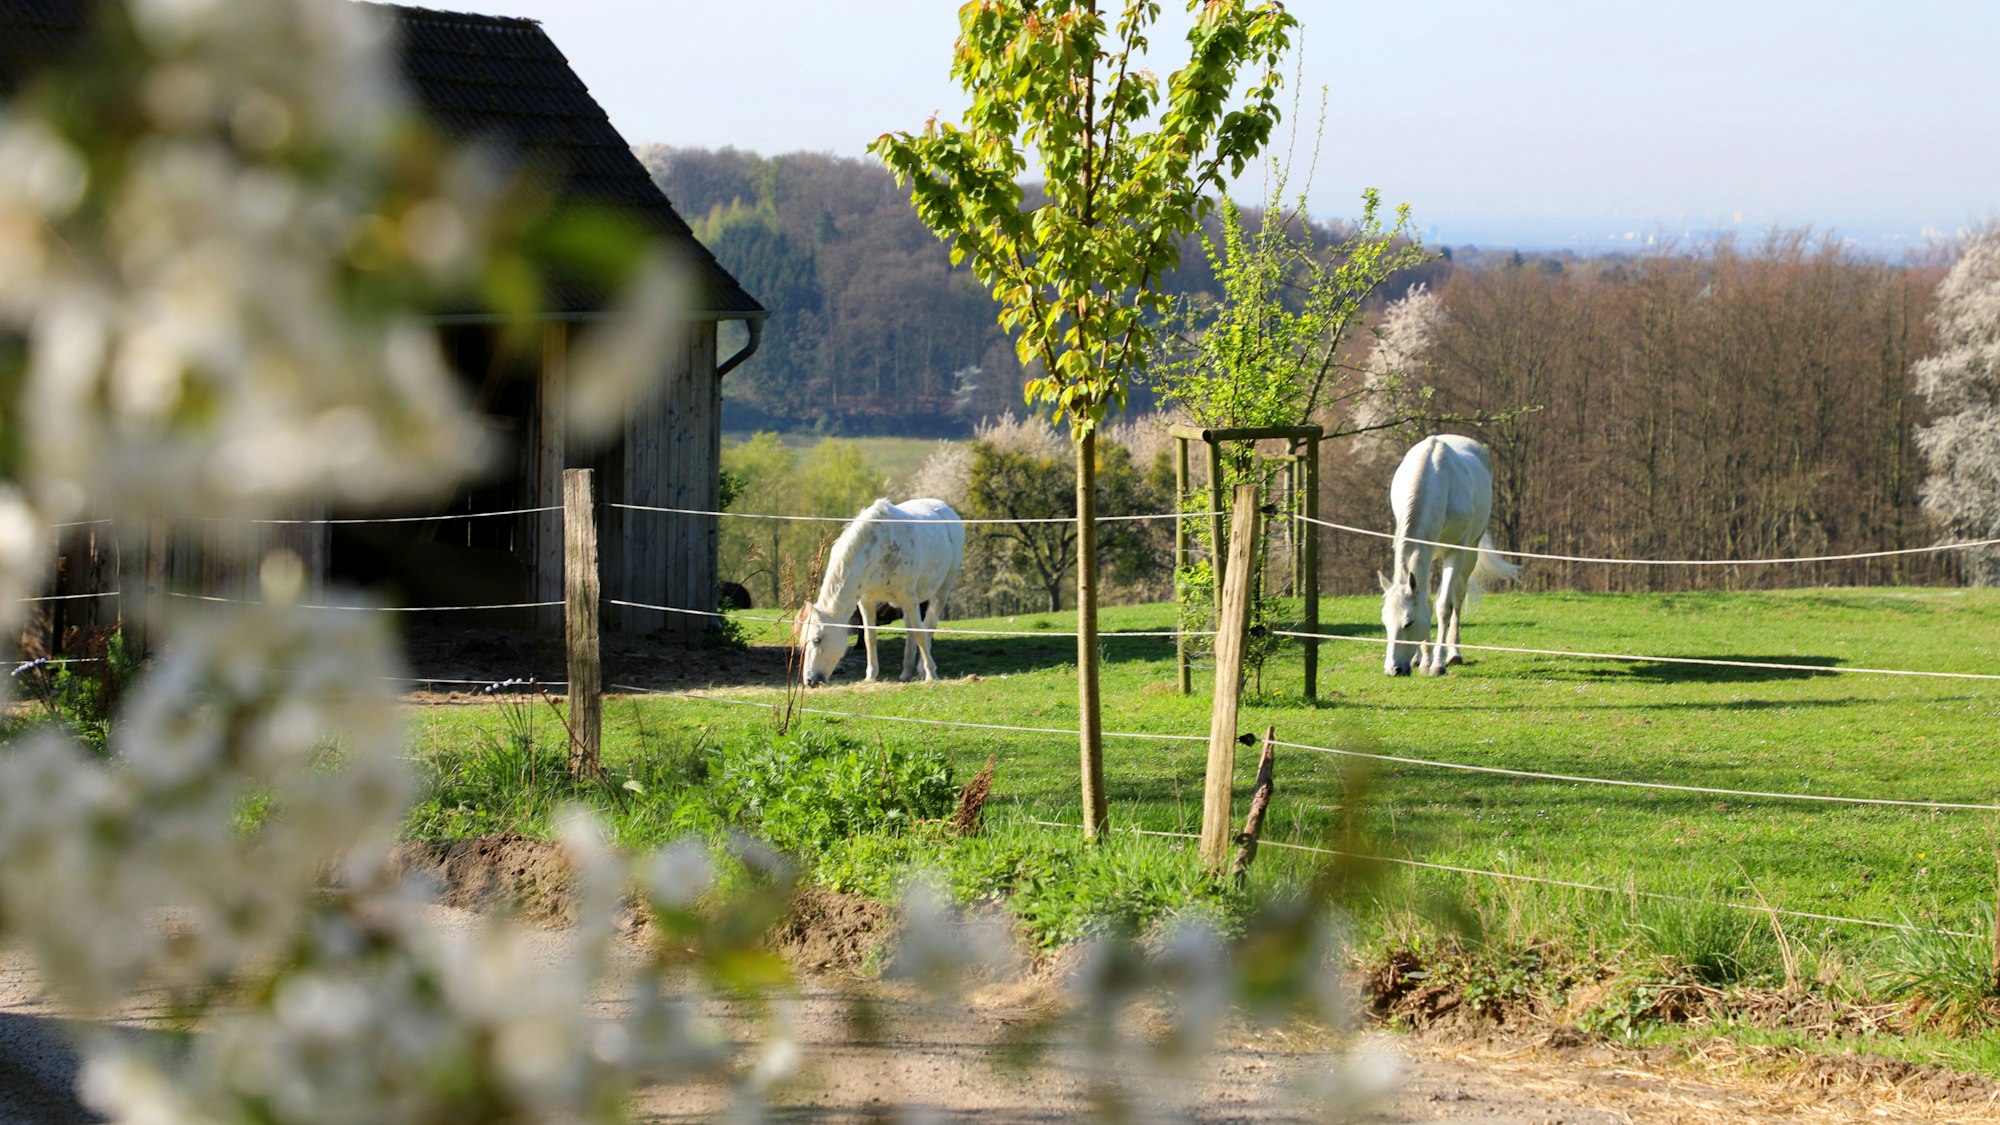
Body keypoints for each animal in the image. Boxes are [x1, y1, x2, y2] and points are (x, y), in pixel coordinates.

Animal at [797, 498, 965, 686]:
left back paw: (923, 669)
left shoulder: (909, 598)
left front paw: (931, 674)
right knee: (910, 630)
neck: (878, 548)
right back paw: (906, 672)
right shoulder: (866, 601)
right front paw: (870, 676)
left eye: (817, 640)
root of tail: (947, 508)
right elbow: (869, 636)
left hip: (941, 591)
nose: (809, 680)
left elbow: (920, 633)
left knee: (928, 626)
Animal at [1380, 435, 1521, 676]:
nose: (1393, 669)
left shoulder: (1456, 551)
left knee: (1458, 597)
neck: (1437, 483)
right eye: (1386, 622)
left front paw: (1437, 664)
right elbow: (1426, 601)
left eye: (1408, 623)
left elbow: (1444, 606)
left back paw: (1454, 653)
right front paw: (1423, 660)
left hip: (1470, 553)